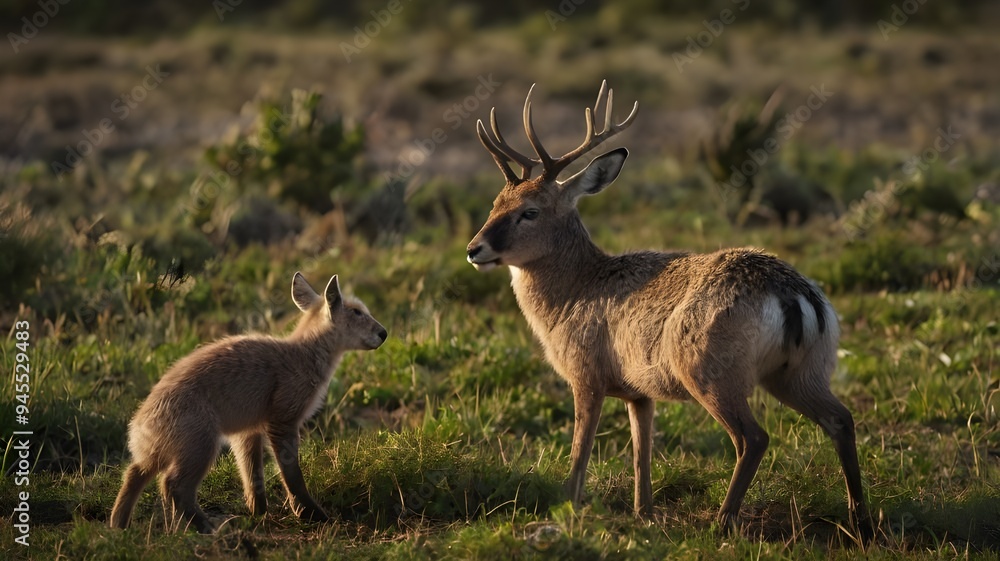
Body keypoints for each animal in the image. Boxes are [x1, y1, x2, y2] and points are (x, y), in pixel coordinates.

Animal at [110, 272, 387, 533]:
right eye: (357, 312)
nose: (384, 333)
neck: (302, 355)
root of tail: (139, 424)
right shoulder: (282, 422)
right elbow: (292, 476)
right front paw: (311, 514)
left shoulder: (248, 432)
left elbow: (253, 478)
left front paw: (260, 515)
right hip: (201, 447)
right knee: (173, 485)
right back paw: (209, 529)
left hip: (160, 454)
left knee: (133, 474)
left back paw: (118, 526)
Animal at [466, 81, 873, 539]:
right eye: (494, 204)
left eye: (530, 211)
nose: (474, 249)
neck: (573, 295)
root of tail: (793, 294)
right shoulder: (638, 391)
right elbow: (641, 451)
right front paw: (643, 512)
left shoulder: (586, 373)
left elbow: (580, 450)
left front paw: (565, 508)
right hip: (803, 370)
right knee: (841, 419)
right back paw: (861, 522)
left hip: (712, 370)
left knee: (754, 438)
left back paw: (722, 522)